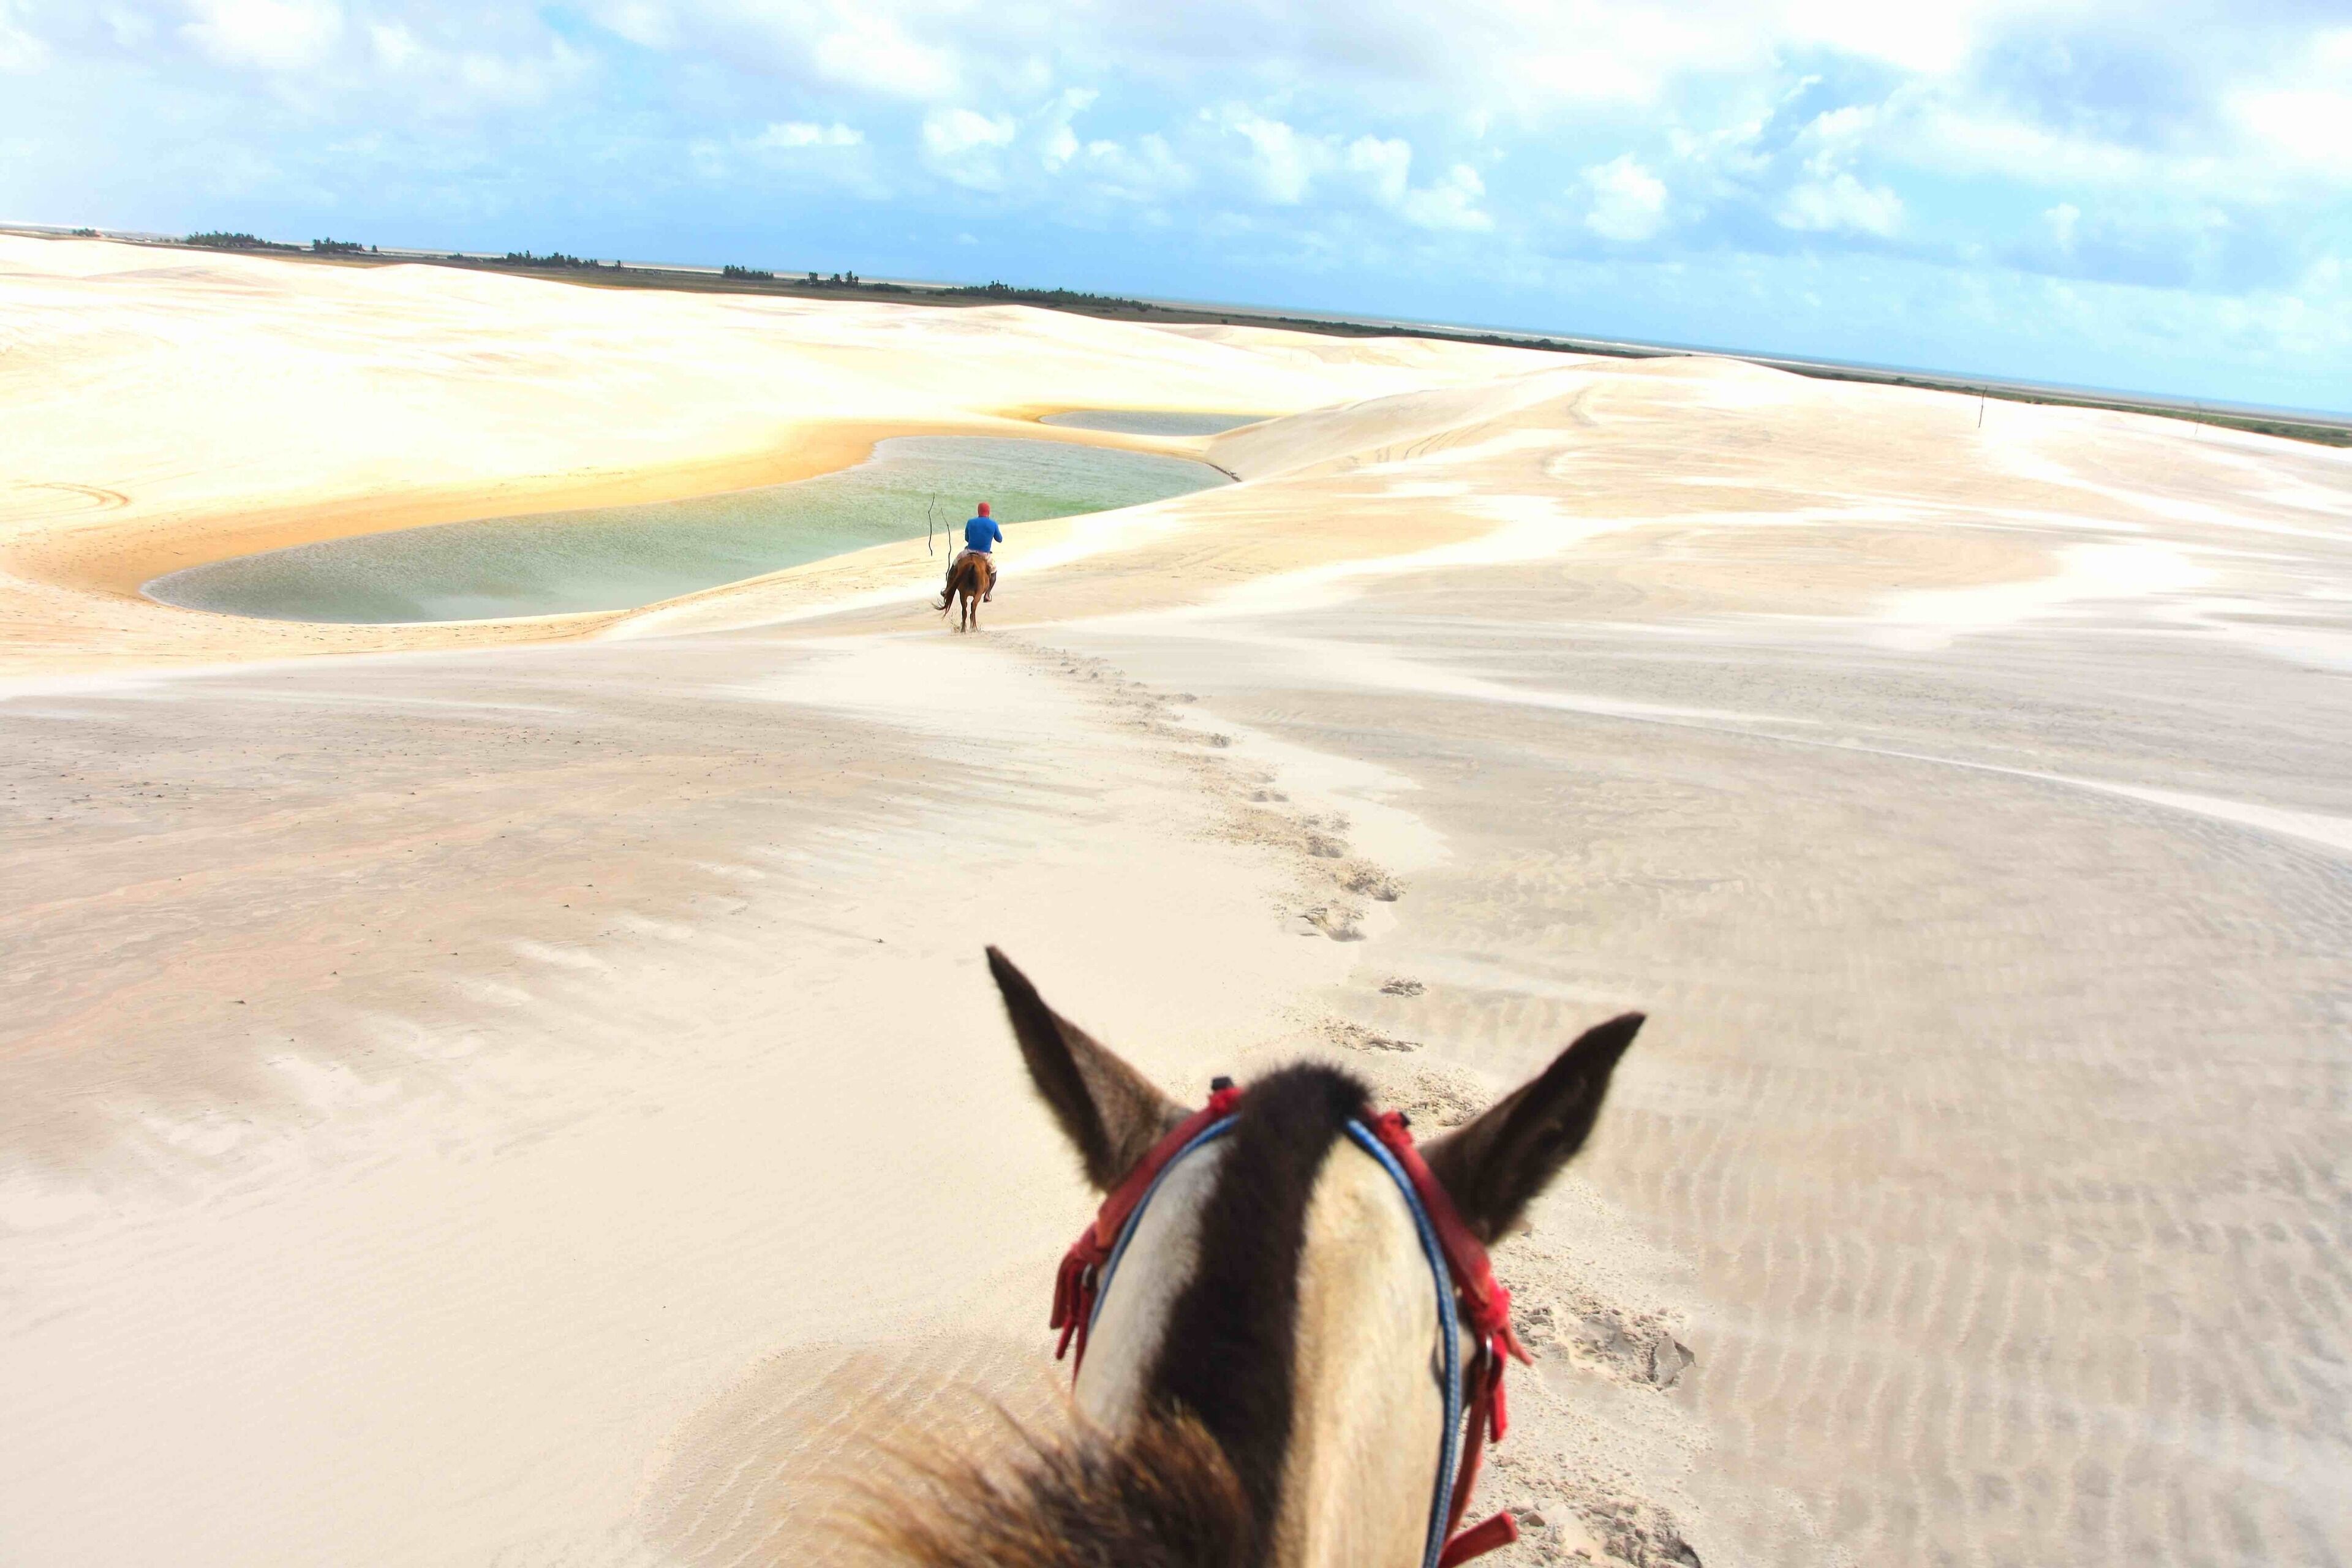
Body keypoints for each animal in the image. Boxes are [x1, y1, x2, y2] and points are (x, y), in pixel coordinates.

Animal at [938, 550, 994, 632]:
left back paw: (963, 629)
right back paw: (974, 628)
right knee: (973, 605)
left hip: (963, 593)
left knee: (964, 610)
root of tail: (972, 563)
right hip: (978, 592)